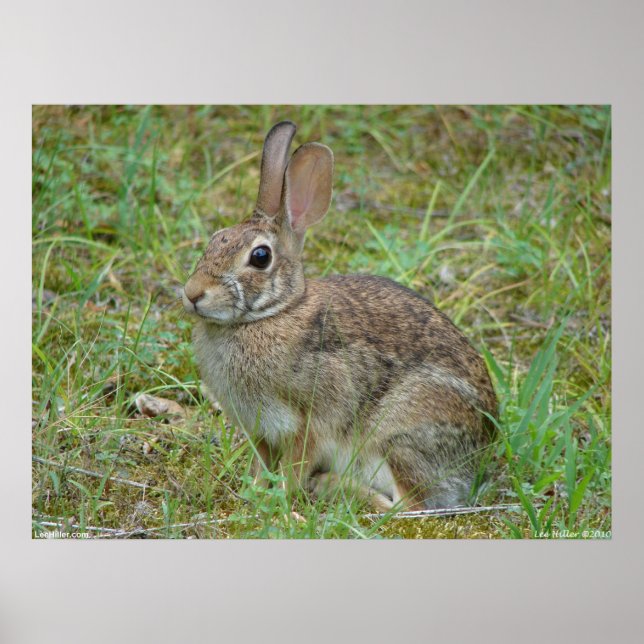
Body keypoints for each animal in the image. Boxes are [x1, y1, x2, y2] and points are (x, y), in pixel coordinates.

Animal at [182, 121, 497, 512]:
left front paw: (279, 499)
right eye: (216, 238)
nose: (192, 293)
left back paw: (330, 486)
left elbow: (295, 466)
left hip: (398, 436)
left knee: (406, 507)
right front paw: (250, 491)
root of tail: (480, 459)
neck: (271, 314)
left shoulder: (310, 422)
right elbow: (260, 464)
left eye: (260, 256)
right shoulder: (261, 431)